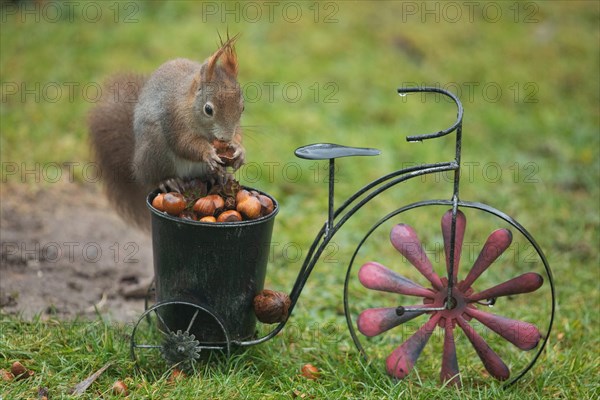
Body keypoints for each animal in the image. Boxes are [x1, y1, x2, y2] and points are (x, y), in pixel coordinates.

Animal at [89, 36, 244, 230]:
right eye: (208, 109)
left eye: (242, 107)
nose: (225, 138)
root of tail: (136, 165)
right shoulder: (174, 120)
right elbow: (184, 144)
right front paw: (208, 153)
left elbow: (238, 134)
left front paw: (239, 150)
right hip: (155, 149)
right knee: (155, 177)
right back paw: (169, 181)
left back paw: (220, 176)